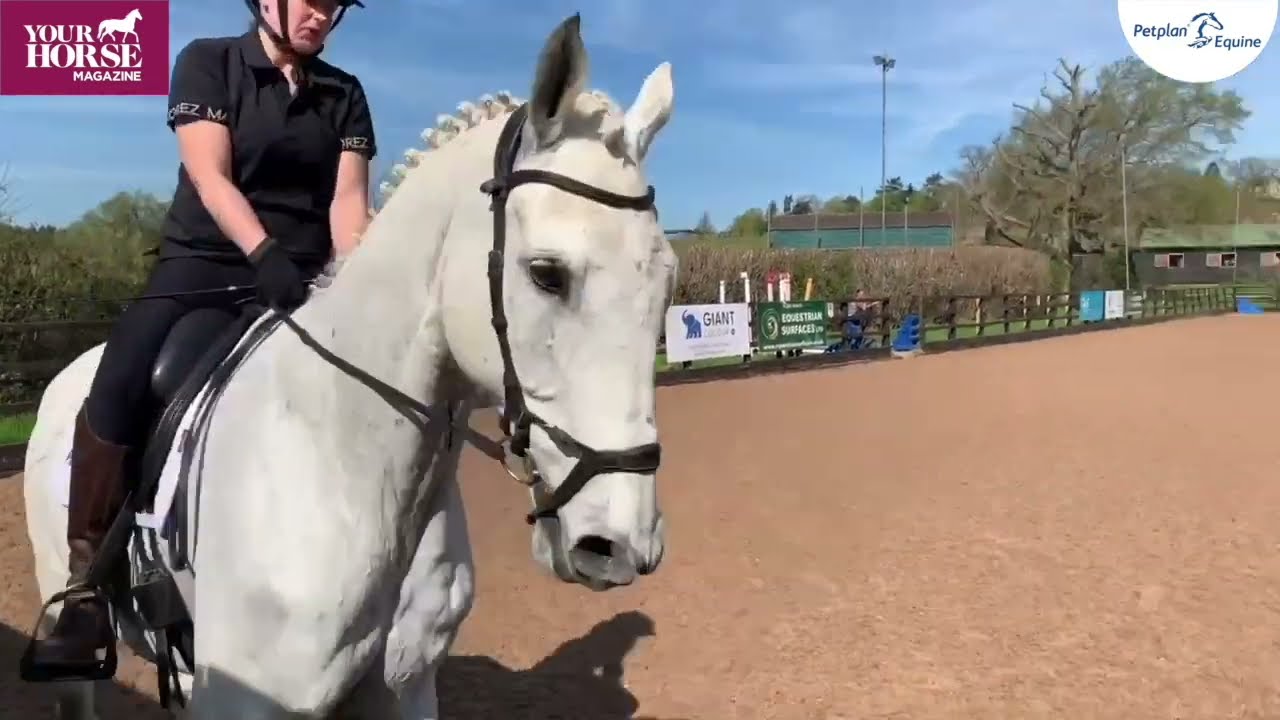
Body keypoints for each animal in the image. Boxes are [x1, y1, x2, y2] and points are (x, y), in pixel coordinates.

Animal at [20, 13, 677, 719]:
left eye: (667, 281)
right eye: (547, 274)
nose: (620, 546)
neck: (347, 463)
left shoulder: (406, 688)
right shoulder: (245, 697)